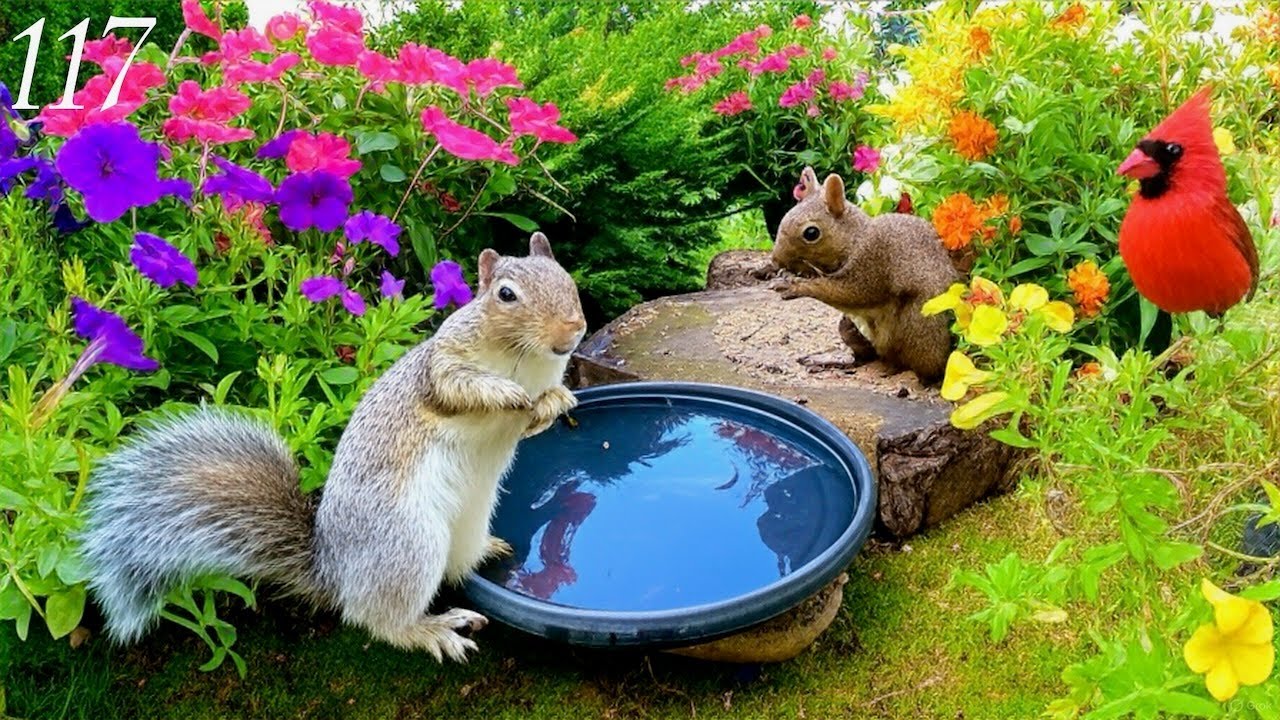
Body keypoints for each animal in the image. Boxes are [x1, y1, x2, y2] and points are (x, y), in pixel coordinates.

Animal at [80, 232, 588, 663]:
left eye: (567, 278)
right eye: (506, 295)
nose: (571, 332)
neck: (522, 360)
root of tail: (335, 573)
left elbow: (538, 413)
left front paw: (556, 401)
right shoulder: (440, 369)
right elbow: (457, 390)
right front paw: (505, 393)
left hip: (465, 522)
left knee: (454, 568)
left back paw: (485, 553)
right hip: (409, 543)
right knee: (378, 620)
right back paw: (432, 630)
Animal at [764, 167, 957, 383]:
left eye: (811, 233)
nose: (776, 260)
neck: (856, 240)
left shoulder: (871, 264)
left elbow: (849, 293)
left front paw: (794, 285)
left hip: (918, 323)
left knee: (915, 363)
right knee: (866, 355)